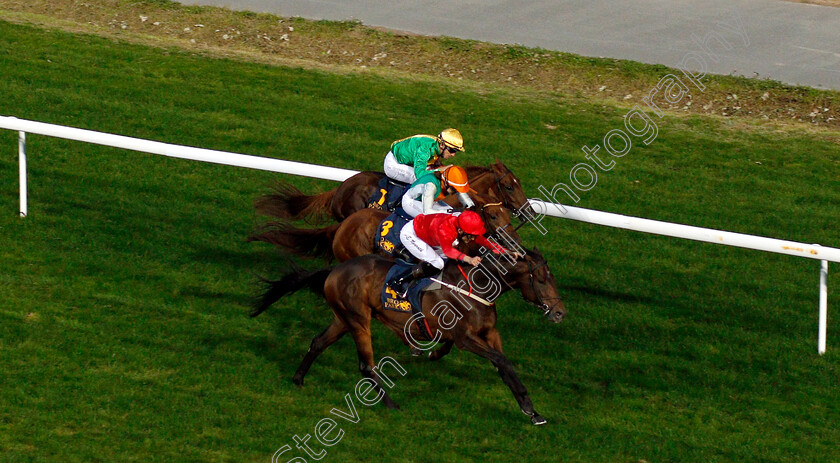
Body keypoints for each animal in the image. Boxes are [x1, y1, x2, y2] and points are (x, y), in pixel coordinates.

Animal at [249, 248, 564, 426]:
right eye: (542, 279)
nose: (560, 312)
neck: (476, 287)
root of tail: (335, 269)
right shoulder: (467, 338)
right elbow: (500, 360)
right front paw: (529, 409)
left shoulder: (489, 332)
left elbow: (503, 365)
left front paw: (531, 411)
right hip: (358, 320)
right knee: (366, 366)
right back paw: (390, 404)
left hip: (343, 319)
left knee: (317, 342)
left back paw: (298, 378)